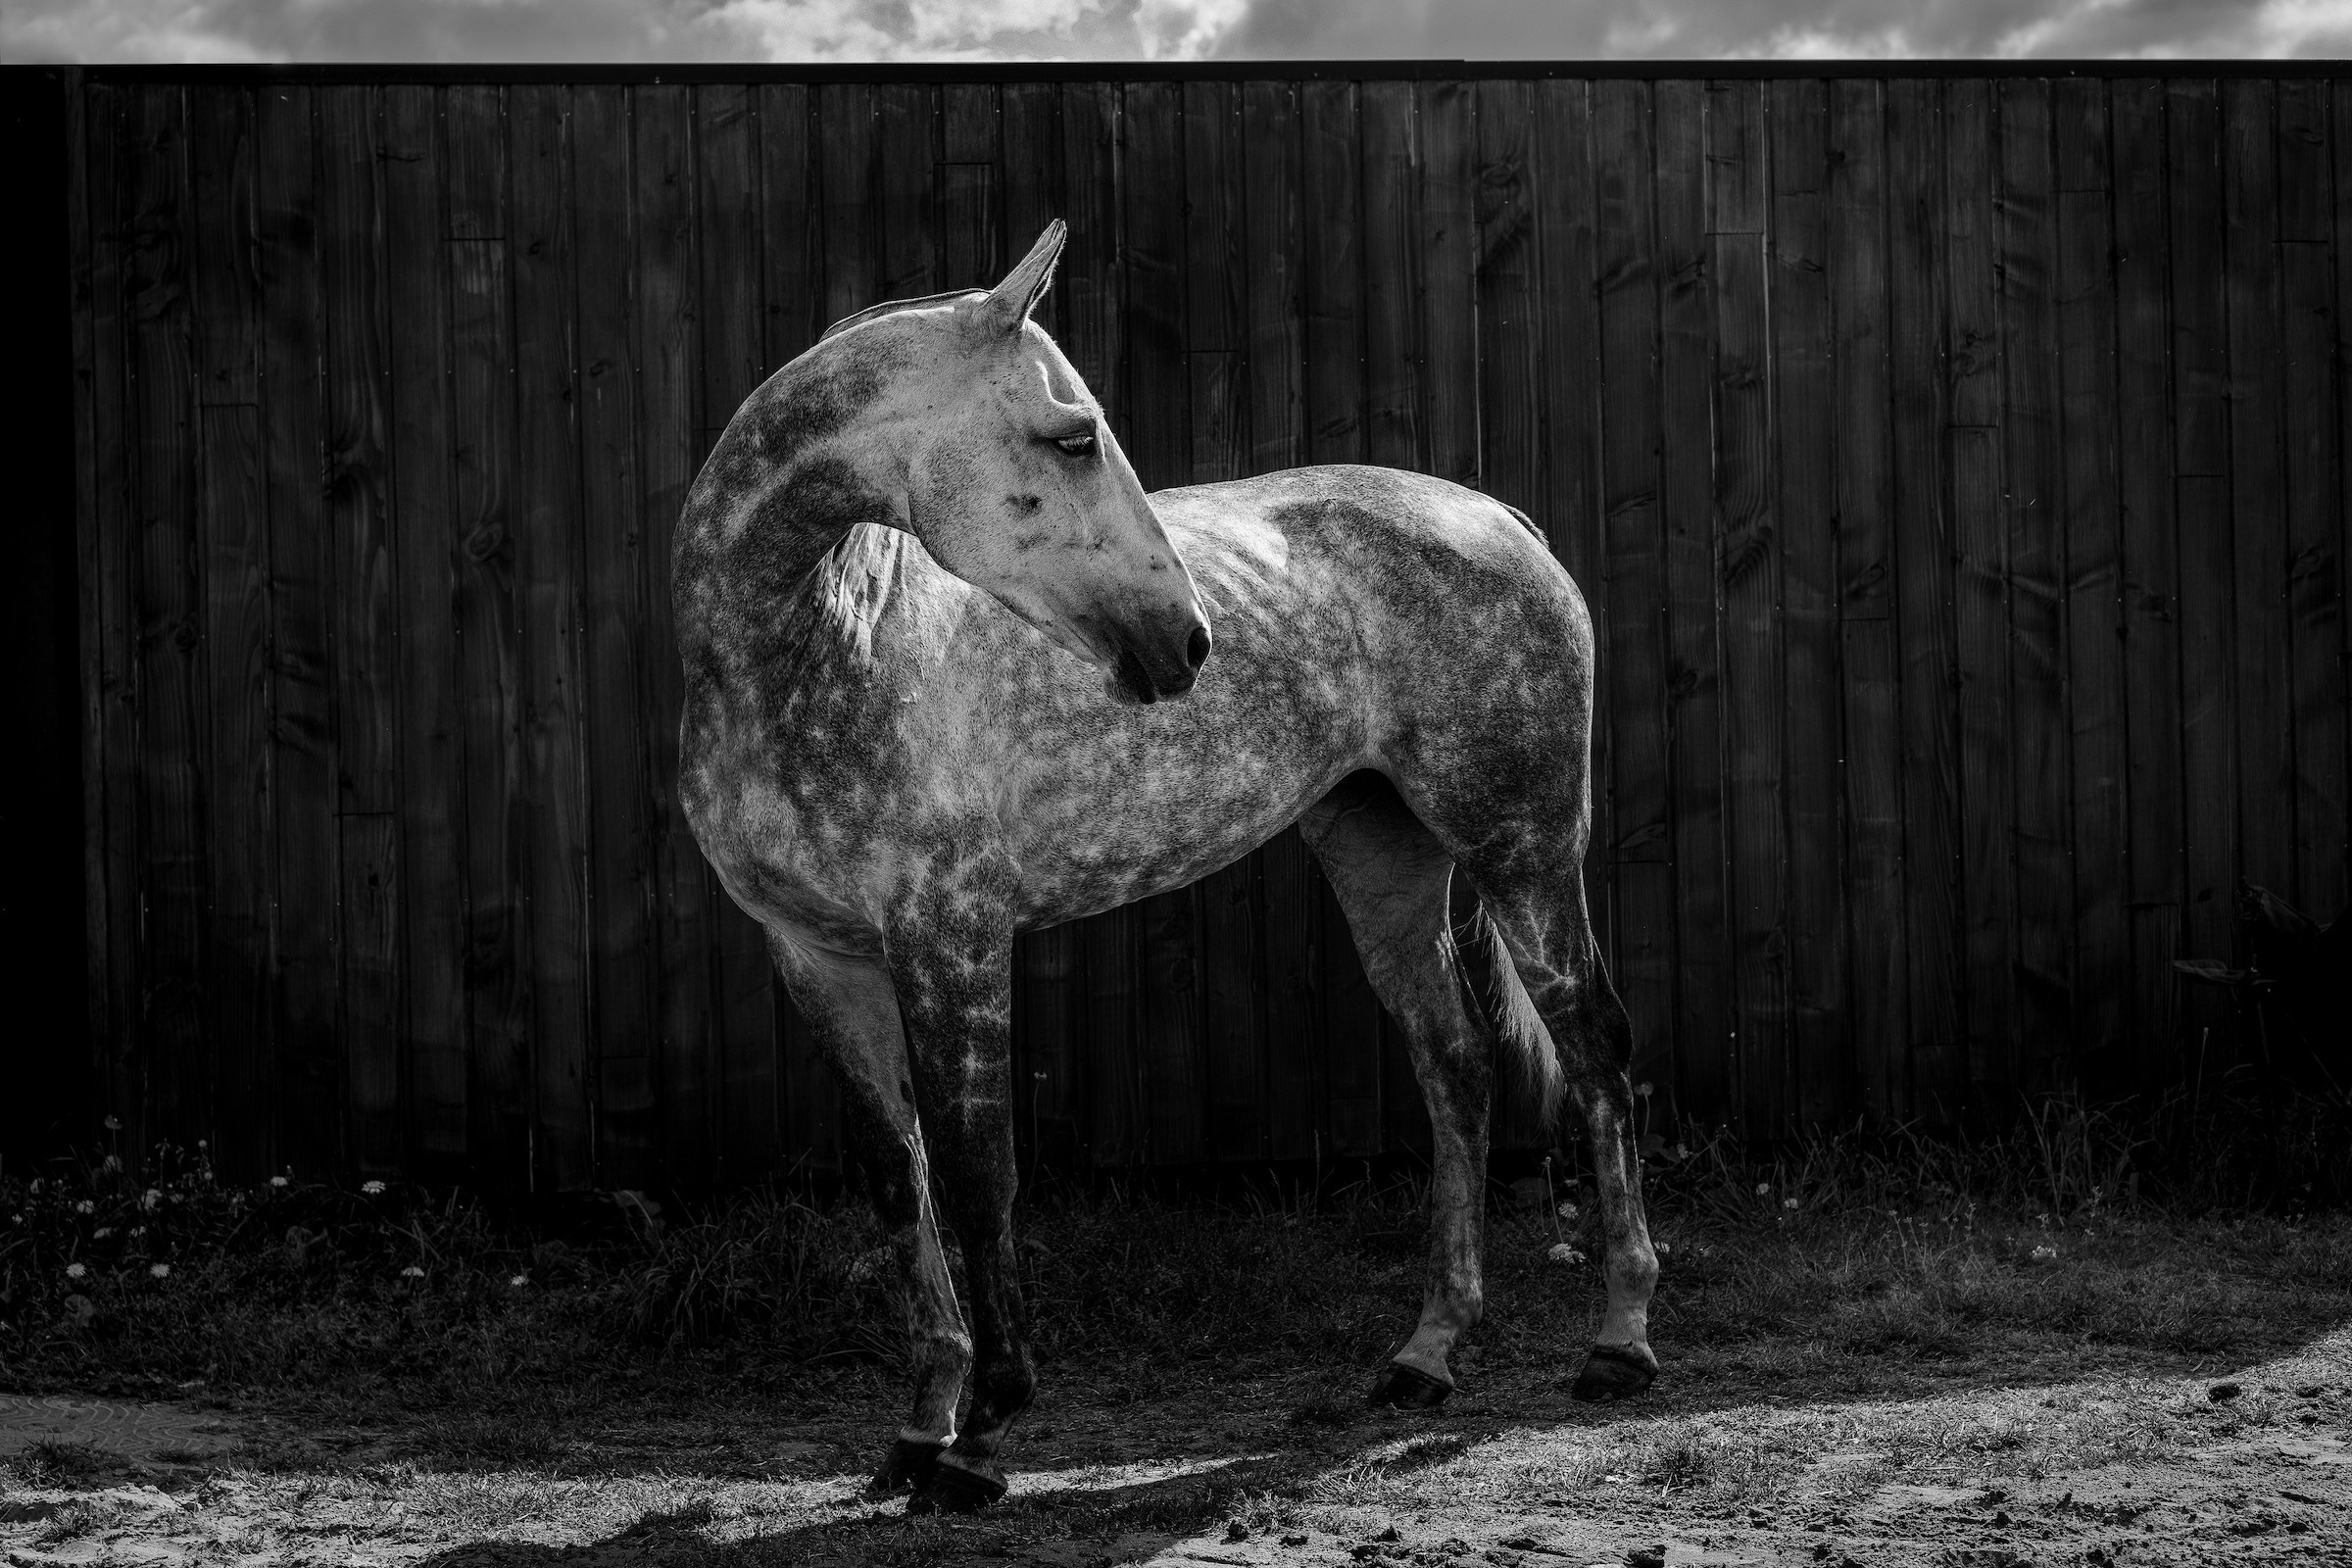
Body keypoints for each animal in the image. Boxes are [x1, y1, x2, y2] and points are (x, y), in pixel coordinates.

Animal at [675, 221, 1661, 1514]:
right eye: (1074, 435)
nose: (1186, 643)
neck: (826, 645)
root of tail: (1501, 519)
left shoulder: (952, 937)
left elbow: (979, 1172)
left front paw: (985, 1432)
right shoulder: (820, 959)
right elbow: (903, 1182)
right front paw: (921, 1430)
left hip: (1523, 848)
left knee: (1594, 1046)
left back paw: (1620, 1342)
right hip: (1381, 856)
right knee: (1456, 1064)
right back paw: (1424, 1357)